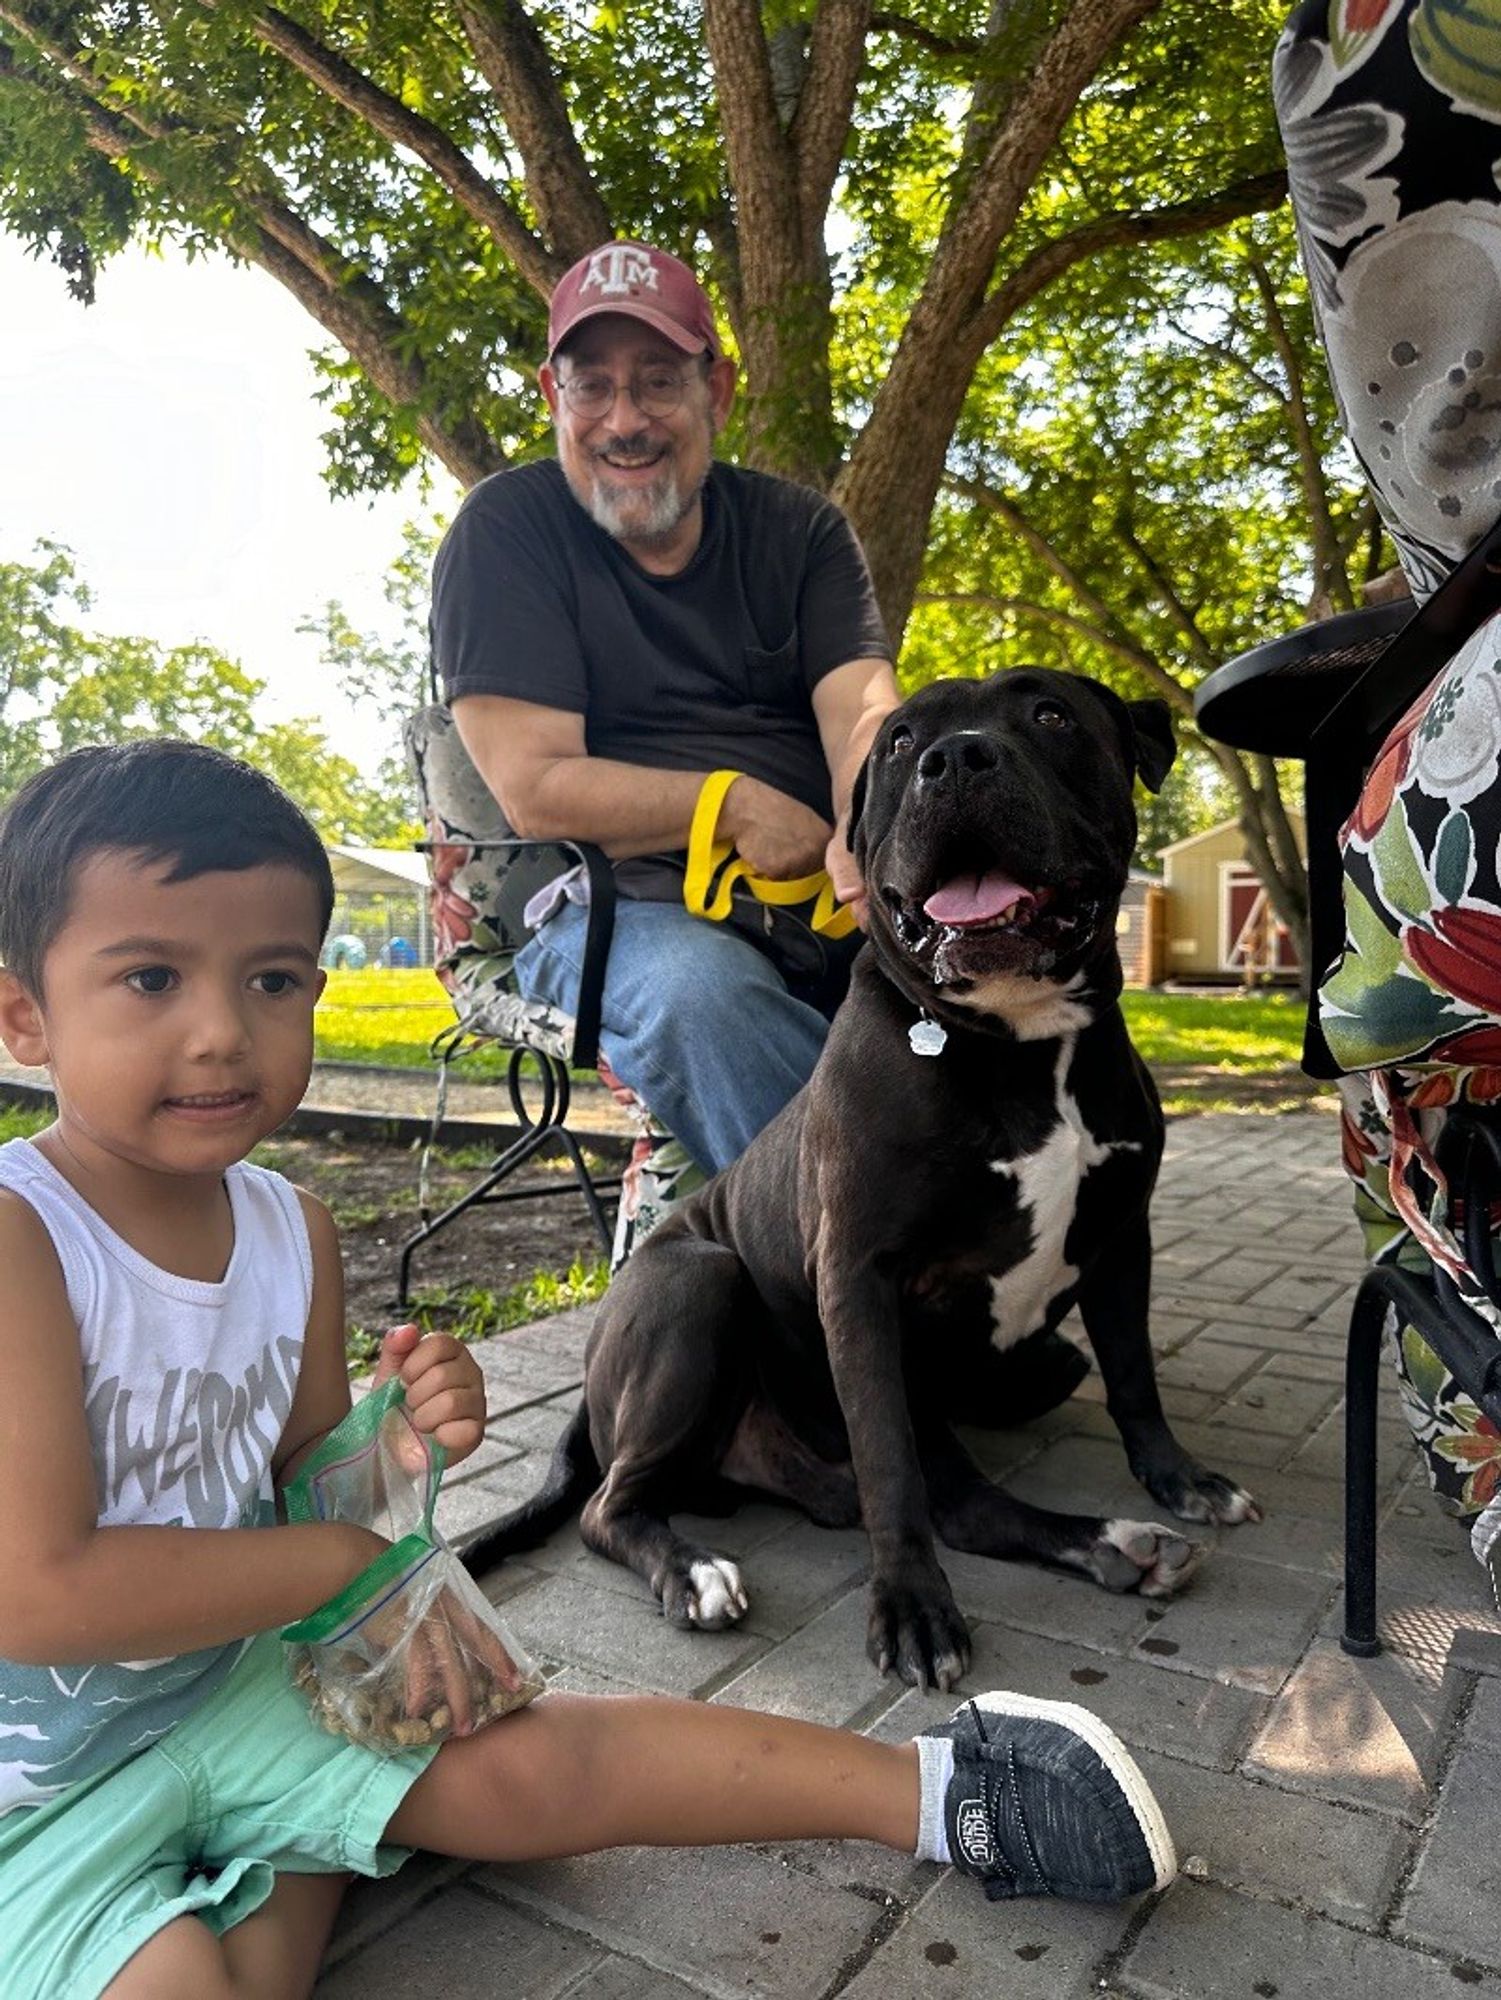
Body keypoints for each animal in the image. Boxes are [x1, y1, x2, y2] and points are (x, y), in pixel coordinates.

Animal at [464, 672, 1264, 1688]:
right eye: (898, 743)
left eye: (1050, 715)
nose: (956, 758)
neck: (1015, 1039)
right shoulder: (860, 1283)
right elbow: (891, 1464)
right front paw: (912, 1608)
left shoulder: (1122, 1235)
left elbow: (1132, 1375)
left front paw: (1177, 1479)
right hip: (698, 1280)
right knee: (619, 1505)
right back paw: (693, 1572)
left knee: (950, 1494)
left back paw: (1110, 1543)